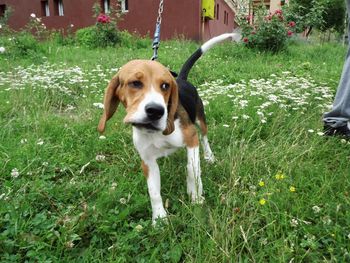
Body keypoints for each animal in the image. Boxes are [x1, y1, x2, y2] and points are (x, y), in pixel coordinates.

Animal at [97, 33, 237, 225]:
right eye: (135, 83)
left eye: (165, 86)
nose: (156, 111)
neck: (155, 133)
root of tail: (181, 79)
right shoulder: (147, 160)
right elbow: (154, 192)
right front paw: (159, 219)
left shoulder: (191, 138)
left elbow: (192, 169)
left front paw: (195, 196)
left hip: (200, 120)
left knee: (205, 138)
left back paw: (209, 157)